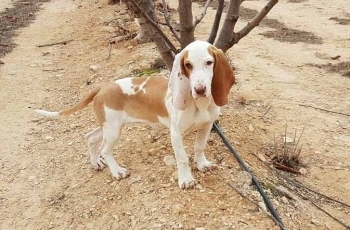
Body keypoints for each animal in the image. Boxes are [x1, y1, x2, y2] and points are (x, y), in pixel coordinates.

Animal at [35, 41, 235, 189]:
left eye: (209, 63)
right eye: (188, 65)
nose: (199, 90)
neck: (199, 104)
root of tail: (103, 87)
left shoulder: (207, 126)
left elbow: (199, 147)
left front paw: (202, 165)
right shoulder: (176, 133)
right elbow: (182, 158)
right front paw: (186, 179)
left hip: (108, 126)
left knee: (90, 137)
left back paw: (96, 162)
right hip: (113, 130)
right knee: (105, 150)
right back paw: (116, 171)